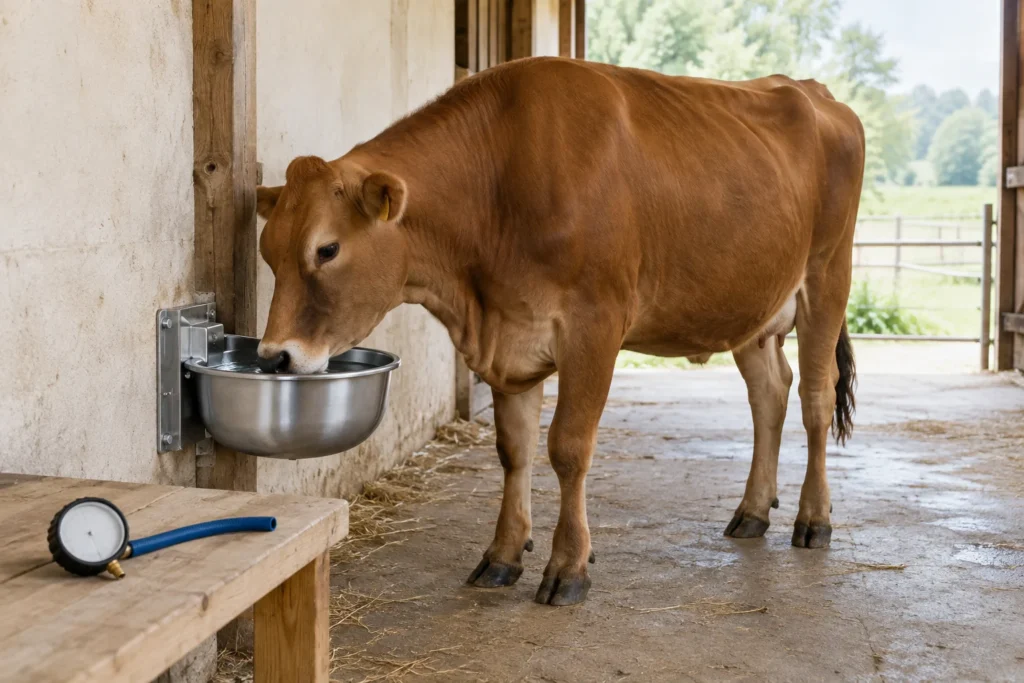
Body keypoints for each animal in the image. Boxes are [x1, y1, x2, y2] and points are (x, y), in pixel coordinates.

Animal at [255, 57, 863, 606]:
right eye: (268, 250)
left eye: (327, 249)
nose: (274, 357)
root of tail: (812, 91)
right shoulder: (509, 334)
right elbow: (514, 449)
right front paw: (503, 555)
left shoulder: (594, 327)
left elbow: (568, 448)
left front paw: (568, 566)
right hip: (753, 310)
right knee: (770, 393)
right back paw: (752, 511)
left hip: (827, 279)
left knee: (815, 397)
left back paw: (814, 519)